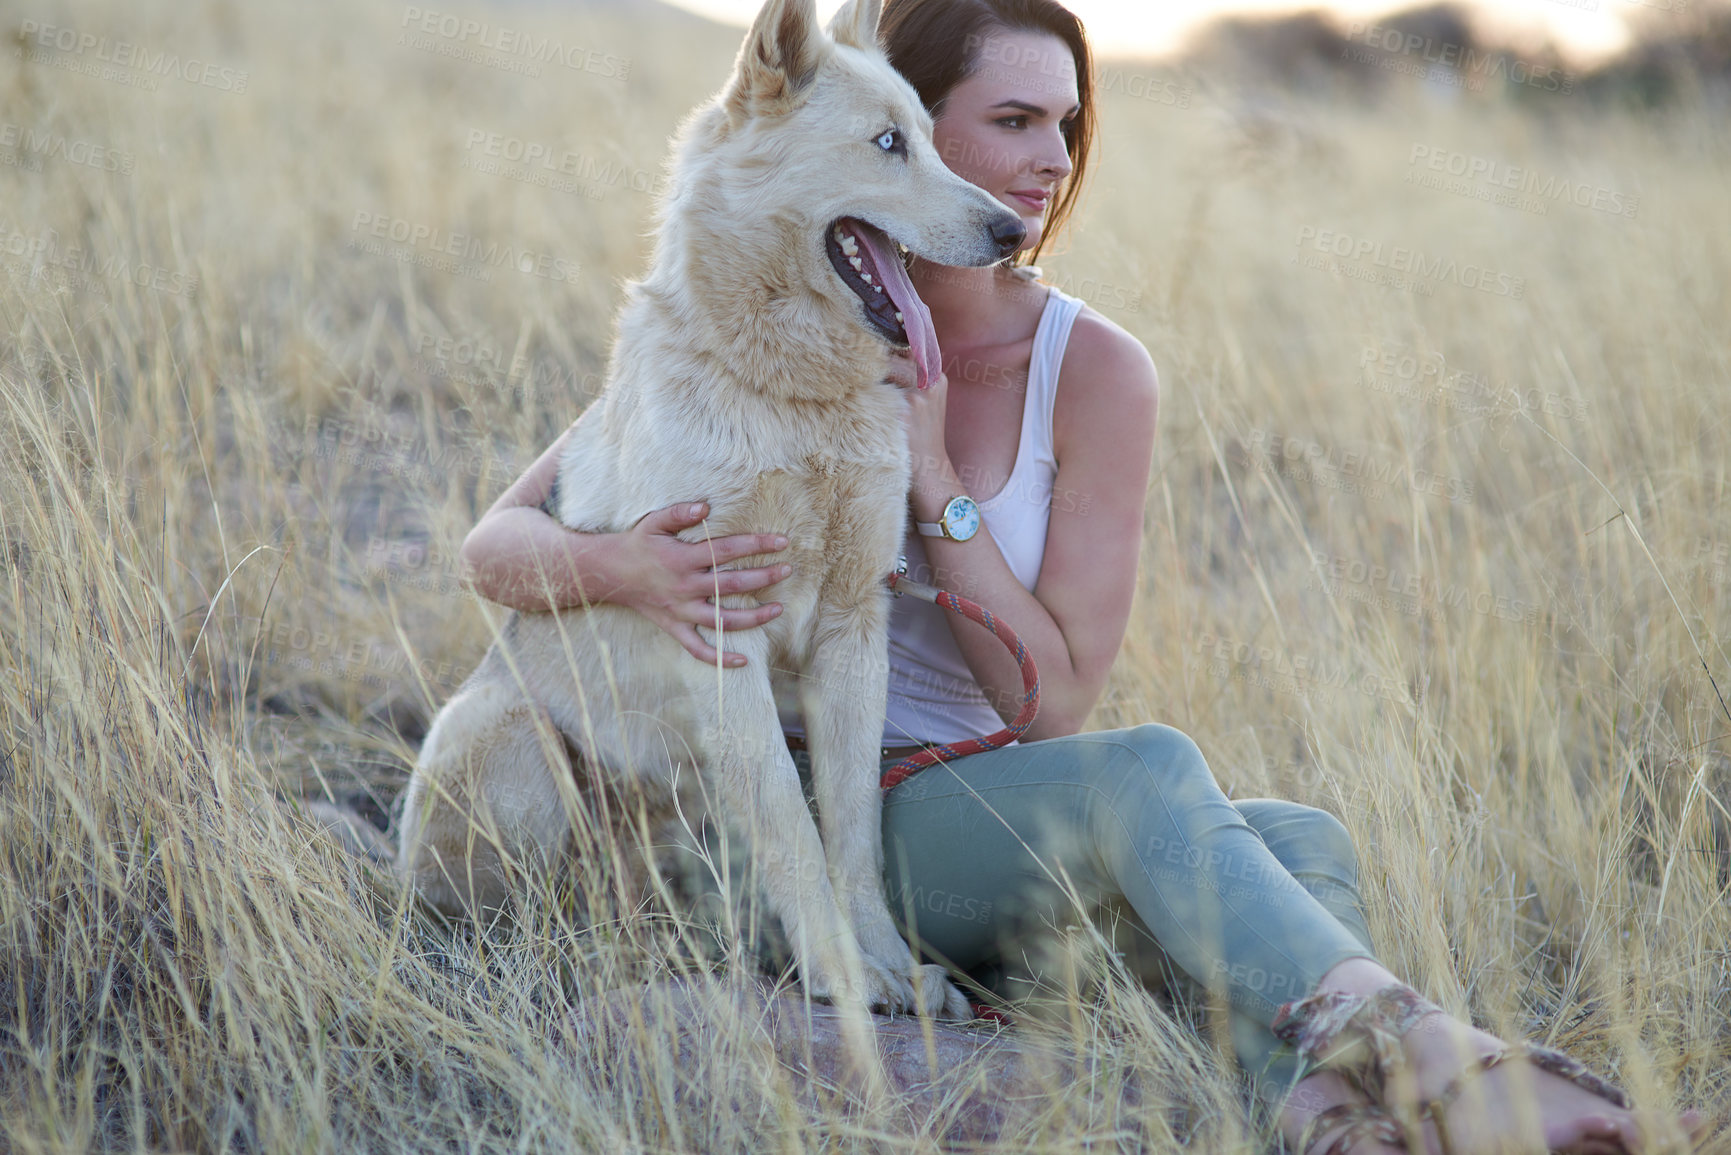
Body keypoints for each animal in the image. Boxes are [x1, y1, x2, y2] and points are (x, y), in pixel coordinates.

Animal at [401, 0, 1024, 1018]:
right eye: (886, 143)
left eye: (934, 141)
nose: (1012, 229)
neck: (791, 396)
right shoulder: (724, 630)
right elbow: (792, 828)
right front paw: (841, 975)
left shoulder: (855, 630)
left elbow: (849, 830)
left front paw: (890, 968)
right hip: (517, 741)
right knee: (498, 910)